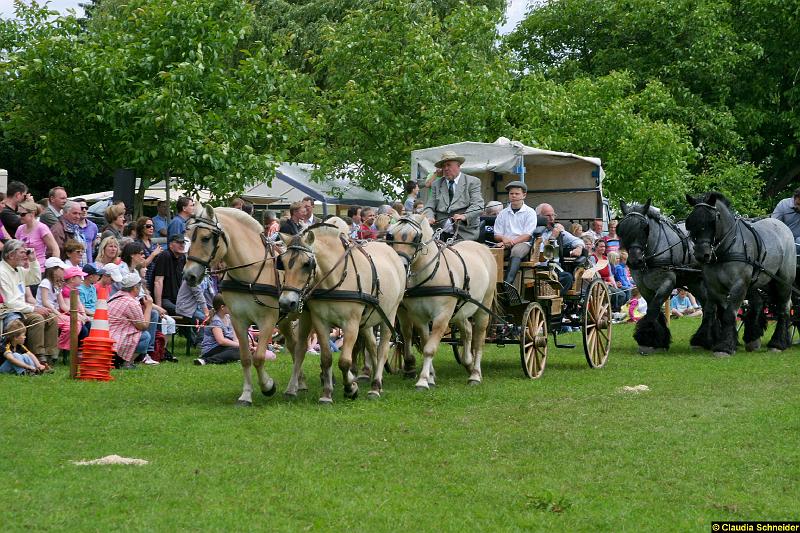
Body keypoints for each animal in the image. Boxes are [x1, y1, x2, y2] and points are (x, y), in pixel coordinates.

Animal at [181, 206, 300, 406]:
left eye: (206, 238)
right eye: (187, 237)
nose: (188, 275)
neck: (250, 275)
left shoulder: (267, 321)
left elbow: (258, 357)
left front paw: (268, 386)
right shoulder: (238, 320)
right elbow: (245, 358)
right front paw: (246, 396)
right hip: (286, 321)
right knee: (295, 346)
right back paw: (297, 384)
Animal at [280, 224, 406, 404]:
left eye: (306, 264)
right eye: (282, 263)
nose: (285, 302)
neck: (335, 279)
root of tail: (390, 250)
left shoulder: (351, 324)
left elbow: (345, 361)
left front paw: (350, 388)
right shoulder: (320, 321)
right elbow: (326, 358)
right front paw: (327, 394)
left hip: (389, 314)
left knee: (382, 349)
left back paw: (375, 387)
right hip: (366, 320)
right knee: (372, 346)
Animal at [386, 214, 496, 388]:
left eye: (416, 237)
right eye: (390, 235)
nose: (400, 265)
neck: (431, 275)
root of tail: (482, 247)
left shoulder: (442, 317)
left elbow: (430, 348)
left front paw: (423, 381)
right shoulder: (419, 317)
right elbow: (425, 343)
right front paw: (430, 378)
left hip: (483, 307)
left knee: (479, 340)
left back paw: (475, 375)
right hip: (461, 309)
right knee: (467, 331)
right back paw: (468, 363)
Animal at [616, 200, 720, 354]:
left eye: (645, 228)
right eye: (623, 228)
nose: (635, 261)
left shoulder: (667, 283)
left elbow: (653, 308)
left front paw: (647, 339)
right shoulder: (643, 286)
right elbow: (654, 309)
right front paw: (659, 340)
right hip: (695, 283)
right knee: (707, 305)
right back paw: (703, 339)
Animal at [684, 189, 796, 356]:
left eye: (712, 220)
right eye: (691, 221)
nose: (701, 254)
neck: (727, 248)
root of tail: (783, 227)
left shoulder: (739, 284)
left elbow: (729, 314)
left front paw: (724, 347)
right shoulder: (713, 285)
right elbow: (714, 311)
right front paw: (706, 340)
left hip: (783, 281)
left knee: (784, 308)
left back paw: (777, 343)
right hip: (763, 282)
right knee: (761, 303)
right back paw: (755, 338)